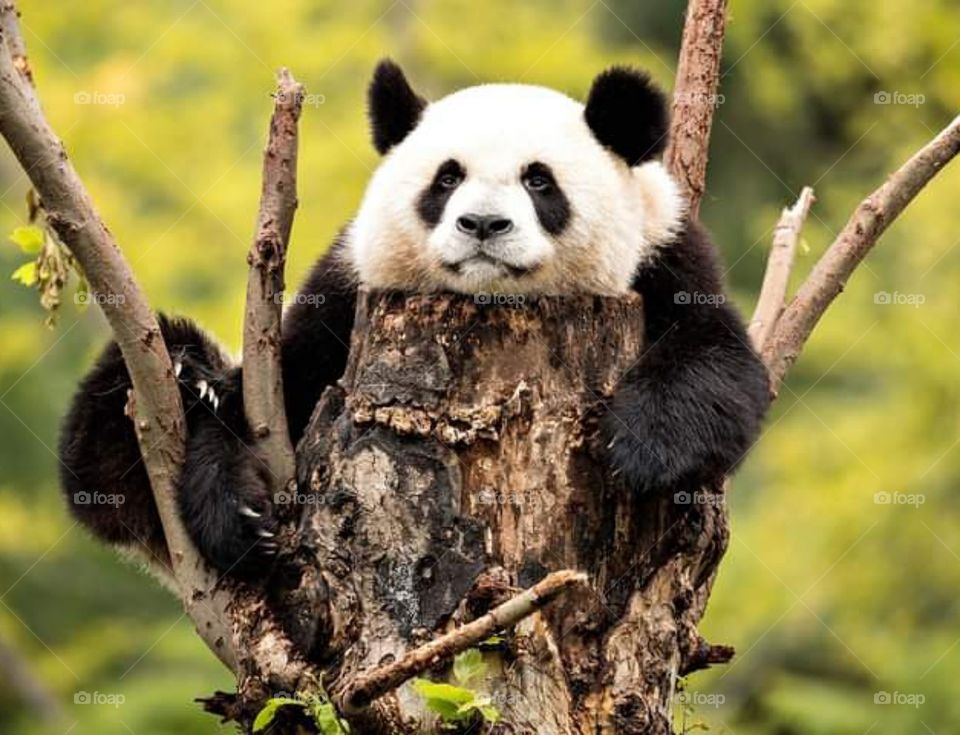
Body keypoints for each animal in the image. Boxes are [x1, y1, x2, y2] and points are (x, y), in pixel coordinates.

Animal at [58, 60, 770, 580]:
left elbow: (722, 368)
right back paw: (184, 372)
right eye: (446, 178)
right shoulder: (345, 297)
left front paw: (642, 448)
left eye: (539, 181)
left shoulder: (665, 261)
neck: (486, 308)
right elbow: (248, 408)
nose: (483, 224)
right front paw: (242, 514)